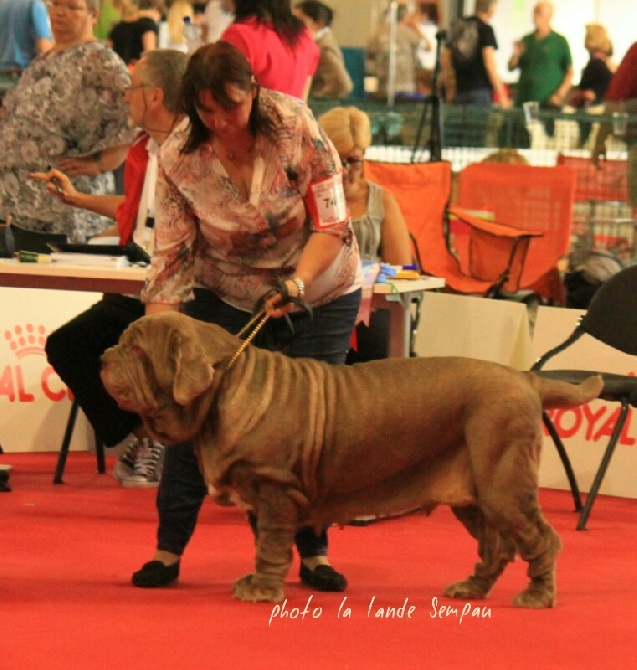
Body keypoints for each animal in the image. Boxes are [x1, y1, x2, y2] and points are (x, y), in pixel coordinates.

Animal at [100, 312, 600, 612]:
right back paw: (469, 590)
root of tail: (526, 379)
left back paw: (536, 596)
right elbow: (264, 543)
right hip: (473, 497)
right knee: (496, 548)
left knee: (543, 540)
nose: (104, 355)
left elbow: (272, 545)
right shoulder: (259, 497)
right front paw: (257, 580)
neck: (223, 386)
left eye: (137, 350)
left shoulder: (275, 489)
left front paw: (262, 590)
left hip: (504, 485)